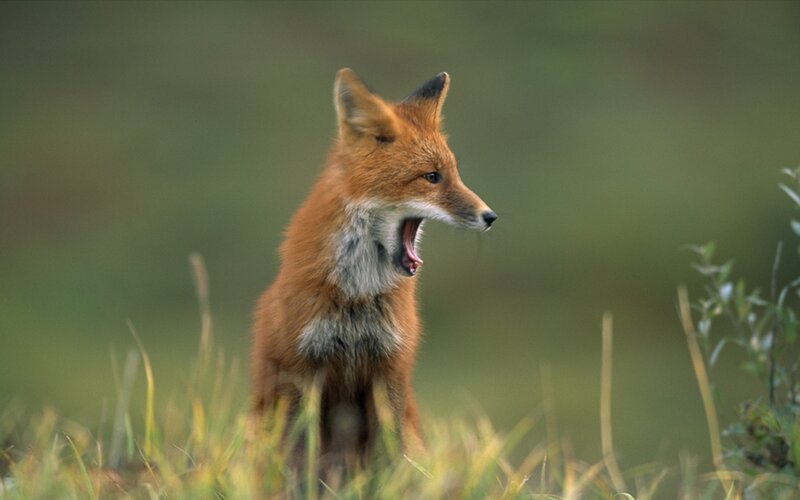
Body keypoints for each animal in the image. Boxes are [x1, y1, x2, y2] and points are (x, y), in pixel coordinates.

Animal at [250, 68, 497, 461]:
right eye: (432, 177)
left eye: (454, 174)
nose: (490, 216)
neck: (356, 297)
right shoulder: (298, 371)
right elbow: (296, 458)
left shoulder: (390, 368)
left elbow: (390, 457)